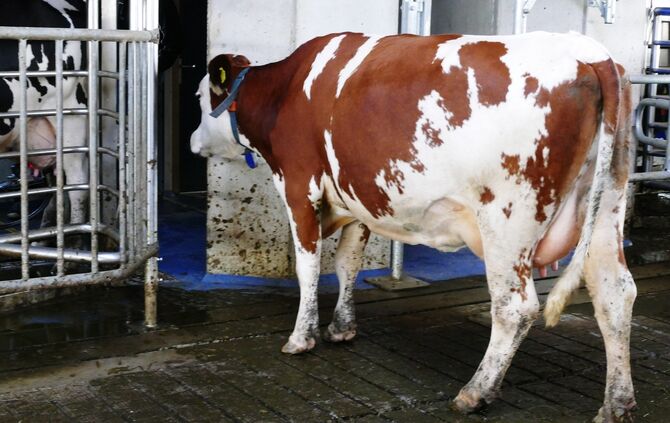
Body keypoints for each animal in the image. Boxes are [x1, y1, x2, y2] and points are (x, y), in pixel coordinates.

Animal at [191, 31, 635, 422]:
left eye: (198, 98)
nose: (193, 141)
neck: (285, 91)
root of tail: (591, 54)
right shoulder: (357, 199)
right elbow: (347, 264)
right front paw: (342, 328)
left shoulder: (298, 186)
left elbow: (308, 268)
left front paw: (301, 339)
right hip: (606, 204)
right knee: (615, 293)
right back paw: (617, 403)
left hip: (509, 219)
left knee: (516, 307)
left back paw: (476, 391)